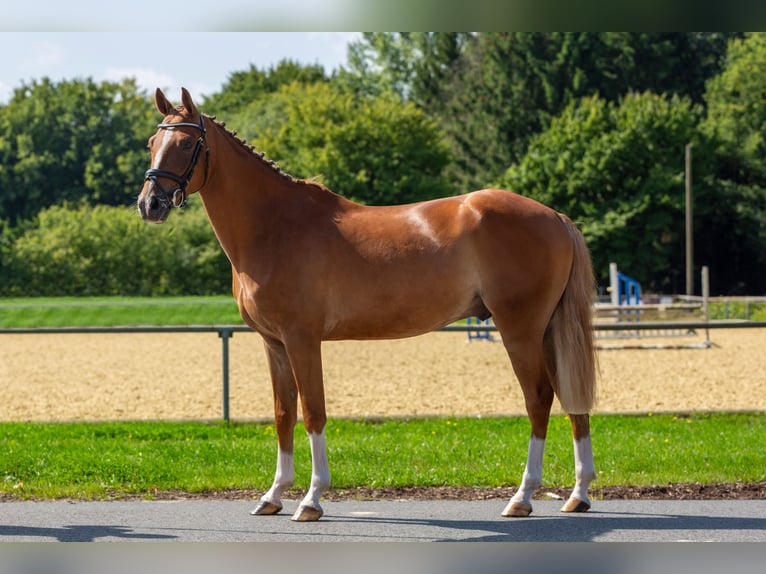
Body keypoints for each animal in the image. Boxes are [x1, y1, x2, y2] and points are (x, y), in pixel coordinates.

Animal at [138, 88, 598, 522]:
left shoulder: (302, 340)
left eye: (185, 144)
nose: (150, 204)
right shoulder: (274, 344)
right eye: (151, 143)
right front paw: (273, 496)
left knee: (539, 398)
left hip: (519, 329)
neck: (275, 226)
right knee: (569, 395)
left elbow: (314, 412)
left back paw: (522, 497)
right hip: (548, 329)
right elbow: (284, 413)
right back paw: (577, 495)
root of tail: (555, 217)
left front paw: (312, 499)